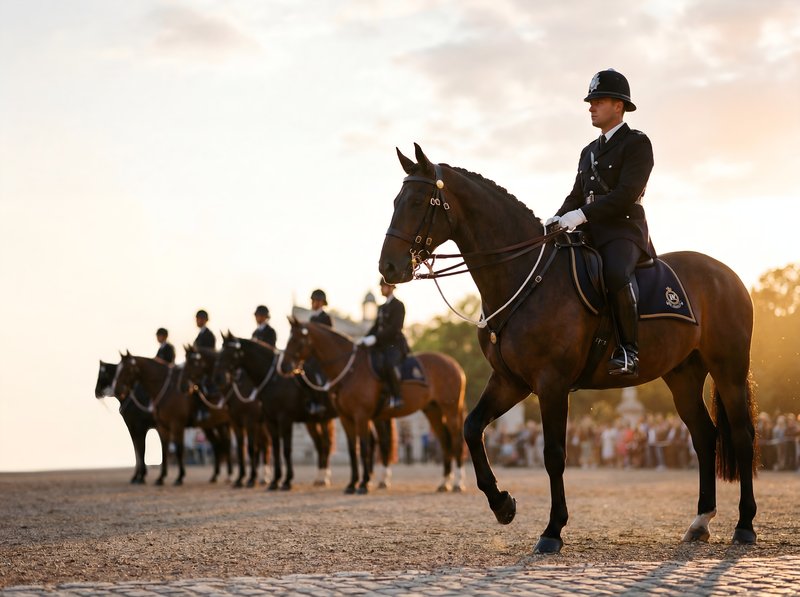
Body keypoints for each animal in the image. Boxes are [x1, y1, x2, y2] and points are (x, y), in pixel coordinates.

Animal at [111, 352, 232, 485]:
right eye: (117, 370)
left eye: (127, 369)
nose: (116, 390)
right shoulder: (161, 427)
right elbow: (163, 450)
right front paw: (160, 477)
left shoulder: (175, 425)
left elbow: (178, 450)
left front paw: (179, 477)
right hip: (214, 425)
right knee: (219, 445)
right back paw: (216, 476)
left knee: (225, 444)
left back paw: (228, 475)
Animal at [183, 345, 270, 488]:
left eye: (192, 362)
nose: (181, 385)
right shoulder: (234, 423)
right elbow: (239, 449)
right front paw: (240, 478)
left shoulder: (249, 421)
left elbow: (249, 448)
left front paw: (249, 479)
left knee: (263, 445)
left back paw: (264, 477)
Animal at [214, 333, 337, 490]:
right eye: (220, 353)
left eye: (230, 353)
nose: (218, 378)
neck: (274, 380)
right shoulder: (267, 421)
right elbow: (274, 448)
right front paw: (274, 481)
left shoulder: (282, 420)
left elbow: (284, 449)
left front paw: (286, 481)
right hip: (317, 421)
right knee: (323, 444)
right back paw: (321, 478)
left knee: (325, 444)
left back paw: (324, 478)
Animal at [281, 318, 467, 494]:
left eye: (296, 339)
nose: (283, 367)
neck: (350, 371)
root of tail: (453, 363)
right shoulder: (346, 418)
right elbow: (353, 449)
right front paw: (352, 484)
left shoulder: (361, 416)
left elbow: (364, 447)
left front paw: (363, 484)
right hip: (433, 411)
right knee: (445, 442)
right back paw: (444, 483)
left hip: (450, 411)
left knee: (456, 441)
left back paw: (458, 483)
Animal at [378, 144, 758, 553]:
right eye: (395, 200)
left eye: (418, 201)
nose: (388, 267)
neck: (526, 276)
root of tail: (727, 273)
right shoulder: (510, 381)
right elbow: (471, 428)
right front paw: (502, 504)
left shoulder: (552, 383)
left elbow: (553, 454)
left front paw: (552, 529)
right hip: (683, 375)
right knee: (704, 436)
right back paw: (700, 521)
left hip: (729, 369)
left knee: (741, 435)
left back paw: (745, 524)